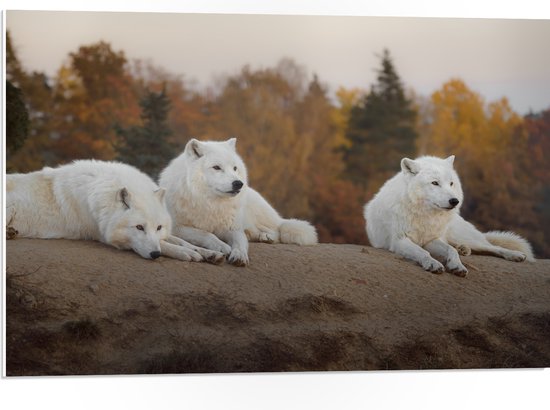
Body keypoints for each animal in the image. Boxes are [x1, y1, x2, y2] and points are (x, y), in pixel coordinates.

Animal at [5, 160, 225, 262]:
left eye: (159, 227)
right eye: (139, 227)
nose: (155, 255)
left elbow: (177, 240)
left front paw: (209, 253)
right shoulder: (104, 235)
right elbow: (169, 245)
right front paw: (187, 253)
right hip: (10, 205)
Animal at [158, 137, 320, 266]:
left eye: (234, 168)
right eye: (216, 167)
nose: (238, 184)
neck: (211, 204)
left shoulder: (232, 228)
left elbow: (240, 242)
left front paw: (240, 255)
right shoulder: (177, 227)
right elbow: (205, 234)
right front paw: (221, 246)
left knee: (277, 229)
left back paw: (267, 237)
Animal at [364, 155, 536, 278]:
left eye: (451, 183)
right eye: (435, 183)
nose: (454, 201)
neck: (425, 216)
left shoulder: (431, 239)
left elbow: (450, 251)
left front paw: (457, 266)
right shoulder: (400, 241)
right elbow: (422, 252)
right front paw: (433, 264)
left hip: (466, 238)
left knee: (491, 247)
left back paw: (514, 255)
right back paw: (464, 250)